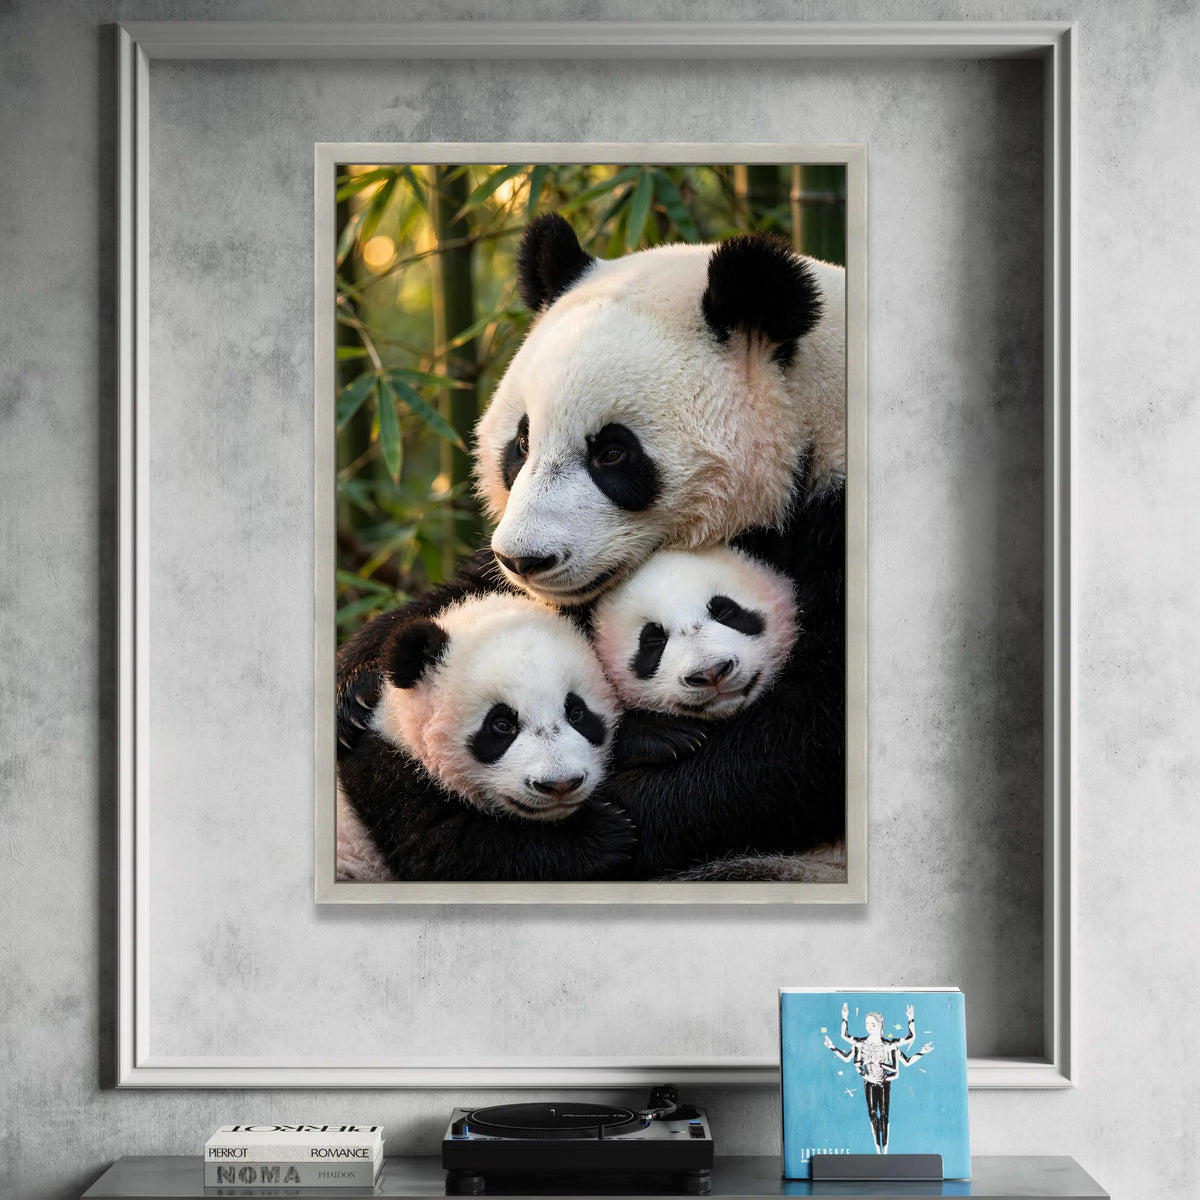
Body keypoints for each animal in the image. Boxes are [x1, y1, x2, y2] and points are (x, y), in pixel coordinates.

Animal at [336, 593, 636, 882]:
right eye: (501, 725)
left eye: (576, 713)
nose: (560, 784)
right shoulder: (389, 781)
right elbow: (449, 849)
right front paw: (601, 833)